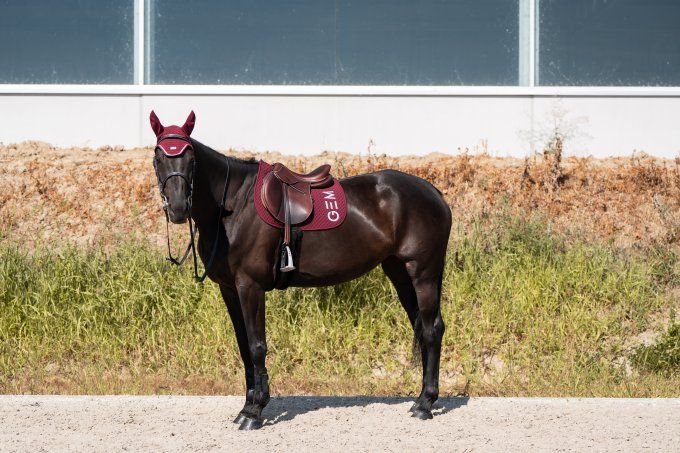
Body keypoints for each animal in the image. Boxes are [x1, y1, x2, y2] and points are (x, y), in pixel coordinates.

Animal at [150, 111, 452, 430]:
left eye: (191, 157)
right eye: (158, 156)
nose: (178, 208)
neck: (234, 205)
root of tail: (433, 193)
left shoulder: (250, 286)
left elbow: (257, 346)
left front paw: (255, 411)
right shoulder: (229, 289)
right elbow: (244, 347)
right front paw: (247, 406)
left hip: (423, 273)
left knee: (432, 330)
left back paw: (425, 403)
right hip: (399, 272)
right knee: (423, 326)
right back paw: (421, 400)